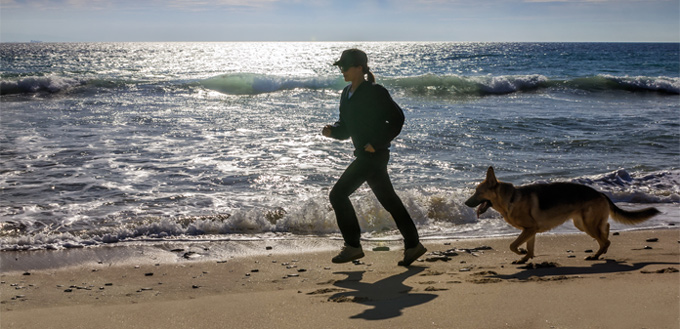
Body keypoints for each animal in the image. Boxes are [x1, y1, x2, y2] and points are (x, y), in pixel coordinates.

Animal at [464, 167, 660, 264]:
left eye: (478, 192)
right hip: (582, 223)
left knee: (605, 240)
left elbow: (513, 245)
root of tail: (600, 193)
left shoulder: (529, 229)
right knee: (606, 229)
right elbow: (530, 248)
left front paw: (521, 252)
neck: (511, 198)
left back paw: (596, 256)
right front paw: (525, 257)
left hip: (587, 224)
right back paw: (601, 250)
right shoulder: (530, 231)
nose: (465, 203)